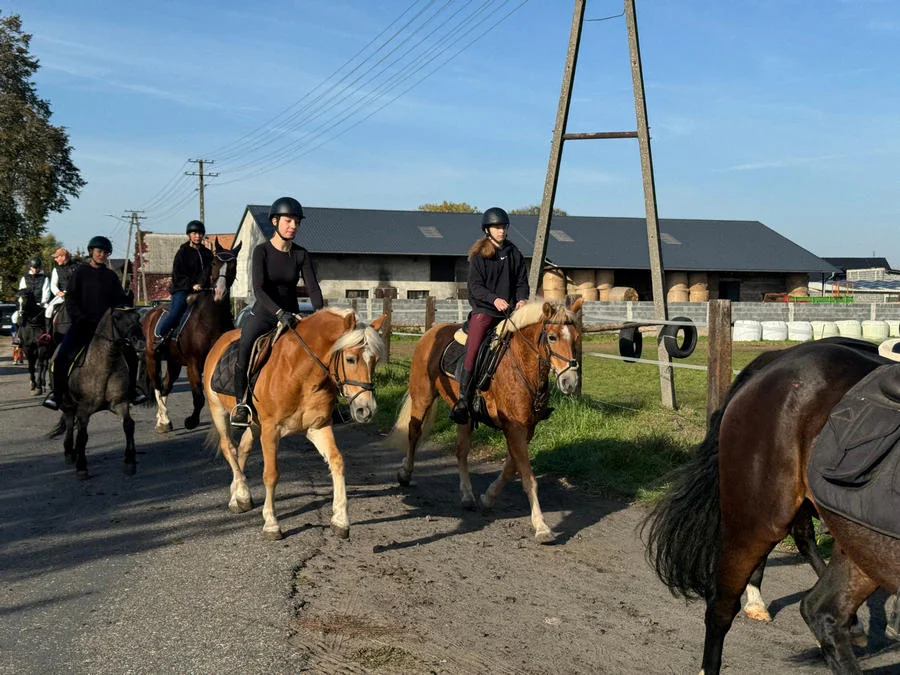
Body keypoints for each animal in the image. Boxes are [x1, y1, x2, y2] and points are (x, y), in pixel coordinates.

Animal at [56, 308, 147, 478]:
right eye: (117, 317)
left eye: (137, 316)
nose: (140, 341)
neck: (105, 365)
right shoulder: (83, 409)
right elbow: (83, 435)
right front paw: (81, 467)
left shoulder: (120, 403)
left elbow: (128, 425)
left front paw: (130, 462)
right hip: (67, 404)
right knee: (70, 424)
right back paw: (69, 453)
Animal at [142, 239, 241, 434]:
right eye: (214, 263)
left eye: (233, 265)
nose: (219, 293)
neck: (209, 320)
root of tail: (151, 312)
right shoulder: (194, 364)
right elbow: (198, 397)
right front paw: (192, 421)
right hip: (152, 358)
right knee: (157, 386)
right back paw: (163, 420)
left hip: (173, 362)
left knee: (165, 386)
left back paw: (163, 421)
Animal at [202, 308, 384, 540]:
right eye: (351, 359)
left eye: (375, 360)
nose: (366, 410)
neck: (301, 373)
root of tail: (221, 340)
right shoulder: (271, 431)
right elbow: (271, 474)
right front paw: (271, 524)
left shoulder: (318, 427)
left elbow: (337, 461)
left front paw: (340, 520)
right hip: (219, 411)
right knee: (229, 448)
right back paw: (241, 491)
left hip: (255, 425)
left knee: (242, 448)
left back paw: (239, 497)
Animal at [384, 300, 584, 544]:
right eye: (552, 337)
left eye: (576, 338)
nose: (570, 382)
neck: (521, 364)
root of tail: (431, 332)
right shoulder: (514, 428)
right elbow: (528, 477)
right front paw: (542, 527)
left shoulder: (526, 429)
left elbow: (510, 468)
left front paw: (488, 497)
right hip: (422, 396)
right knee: (414, 433)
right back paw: (405, 473)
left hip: (465, 415)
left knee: (461, 451)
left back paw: (467, 496)